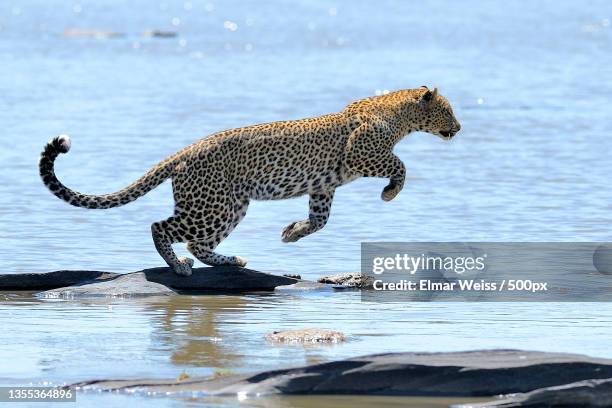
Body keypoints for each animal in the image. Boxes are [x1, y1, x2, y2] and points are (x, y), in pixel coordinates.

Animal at [39, 86, 460, 278]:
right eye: (449, 110)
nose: (458, 128)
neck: (399, 115)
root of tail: (184, 151)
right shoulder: (363, 156)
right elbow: (401, 165)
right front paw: (390, 192)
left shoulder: (323, 187)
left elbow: (321, 220)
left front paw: (292, 232)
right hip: (212, 207)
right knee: (162, 227)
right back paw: (180, 267)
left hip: (230, 207)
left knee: (197, 242)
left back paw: (232, 260)